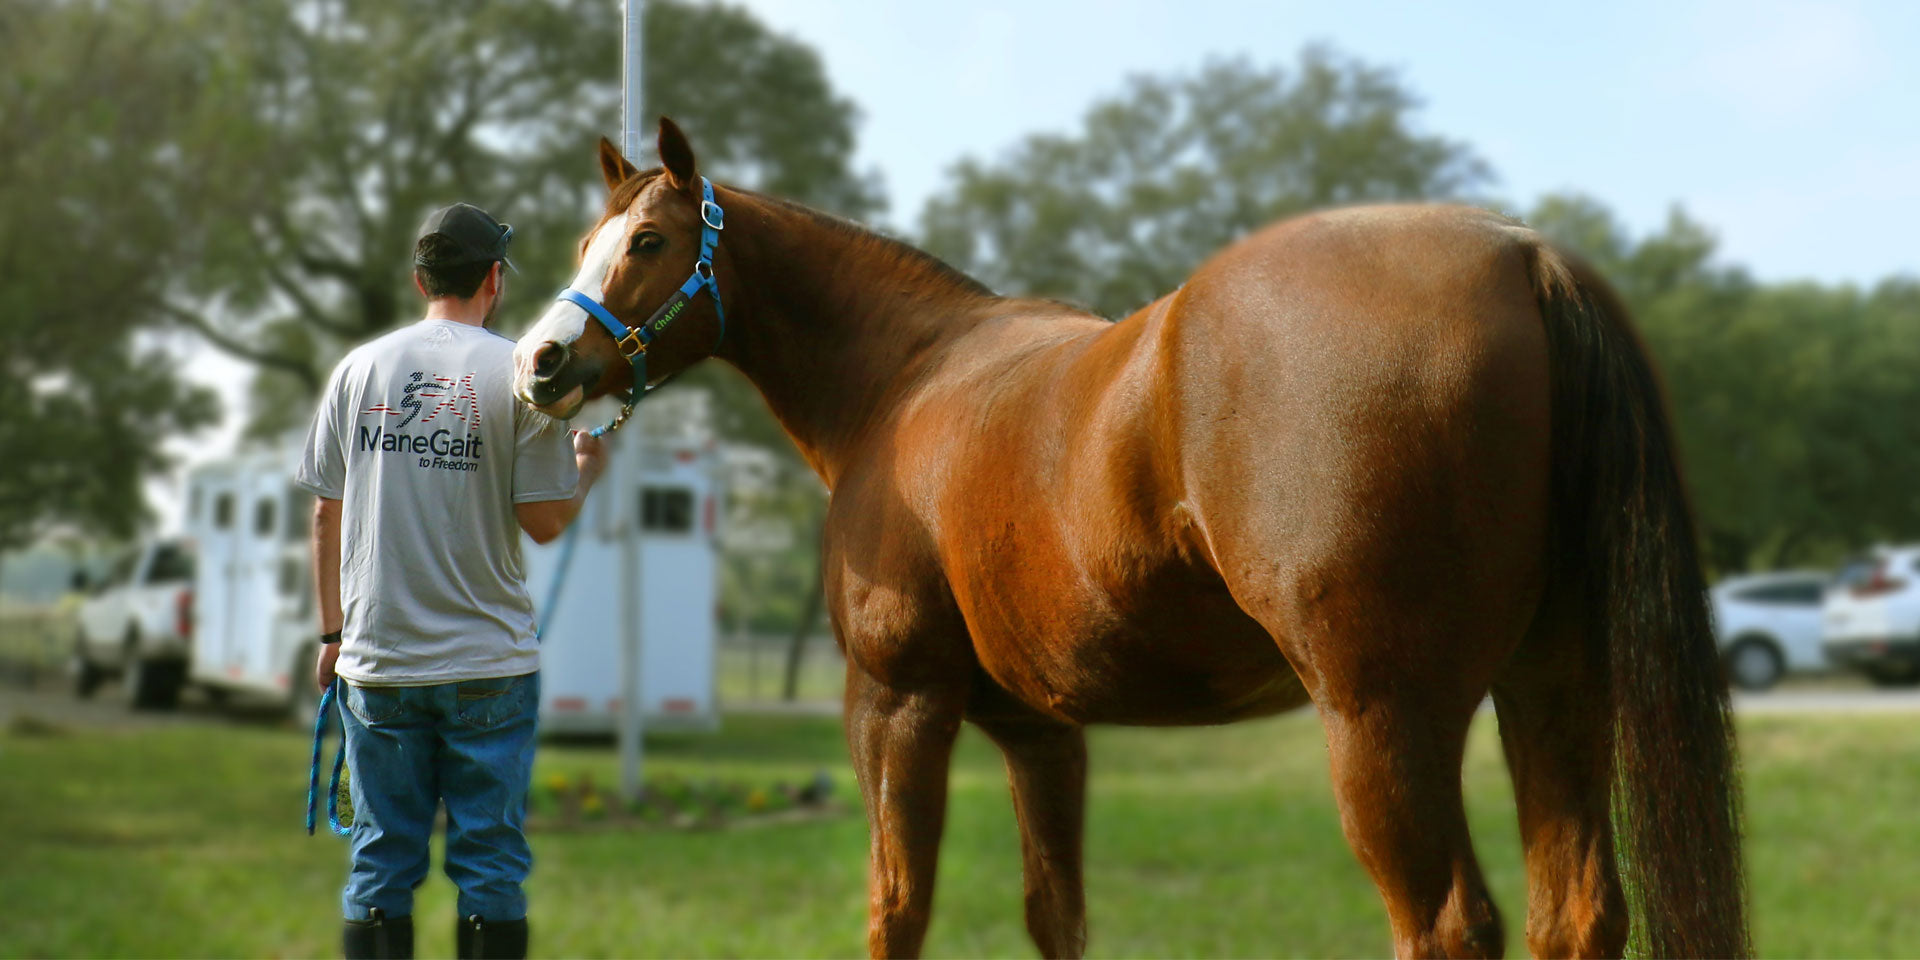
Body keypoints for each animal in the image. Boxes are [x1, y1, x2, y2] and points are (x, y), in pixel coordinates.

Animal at [506, 120, 1743, 960]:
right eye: (587, 238)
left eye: (649, 240)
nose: (541, 363)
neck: (904, 380)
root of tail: (1522, 256)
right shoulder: (1040, 731)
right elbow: (1055, 912)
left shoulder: (895, 704)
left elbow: (895, 908)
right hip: (1552, 687)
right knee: (1574, 915)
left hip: (1384, 716)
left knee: (1446, 924)